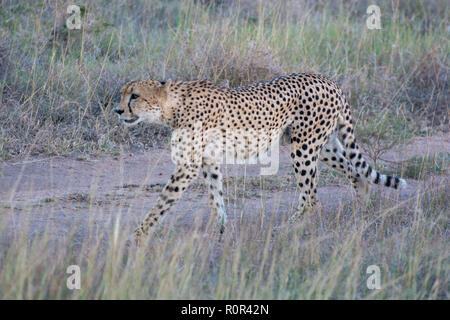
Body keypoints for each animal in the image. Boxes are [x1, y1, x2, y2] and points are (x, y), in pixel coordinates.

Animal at [114, 74, 406, 245]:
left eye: (135, 96)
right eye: (122, 94)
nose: (117, 110)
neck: (172, 106)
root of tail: (327, 79)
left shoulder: (189, 165)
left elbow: (164, 200)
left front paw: (140, 234)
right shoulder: (209, 160)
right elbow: (216, 195)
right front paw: (222, 229)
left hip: (304, 148)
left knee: (311, 197)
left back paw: (288, 229)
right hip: (321, 146)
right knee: (355, 173)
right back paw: (361, 212)